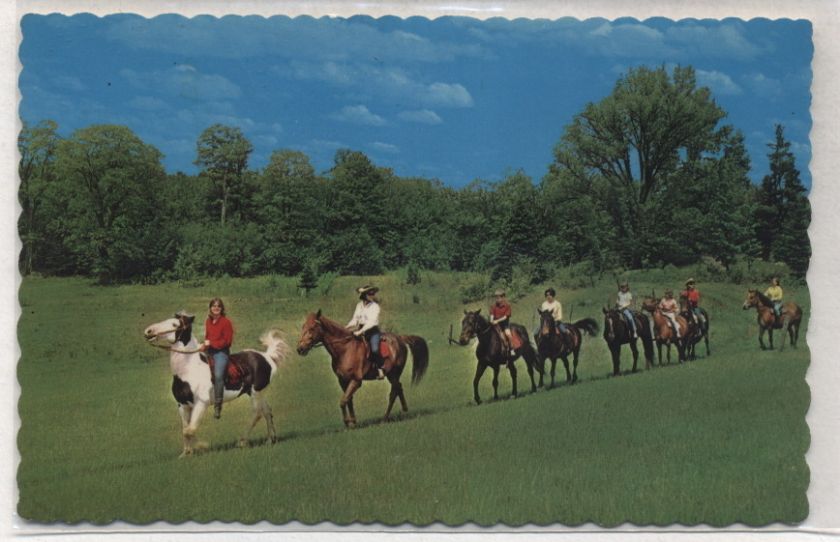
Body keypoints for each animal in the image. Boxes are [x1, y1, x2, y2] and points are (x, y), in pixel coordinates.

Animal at [144, 310, 288, 460]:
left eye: (174, 324)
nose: (149, 331)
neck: (188, 370)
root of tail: (267, 357)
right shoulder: (182, 405)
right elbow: (185, 430)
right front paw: (186, 453)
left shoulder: (201, 403)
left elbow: (190, 430)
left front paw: (202, 446)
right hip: (259, 393)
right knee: (267, 411)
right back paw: (270, 440)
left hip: (256, 393)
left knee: (257, 414)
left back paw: (242, 441)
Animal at [296, 310, 430, 430]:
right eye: (303, 327)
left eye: (312, 328)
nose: (300, 349)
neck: (345, 350)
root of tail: (400, 338)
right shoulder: (343, 381)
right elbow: (348, 400)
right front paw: (353, 422)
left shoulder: (356, 380)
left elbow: (343, 400)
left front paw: (347, 422)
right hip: (392, 375)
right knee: (398, 388)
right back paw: (404, 410)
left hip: (393, 374)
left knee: (394, 392)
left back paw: (385, 418)